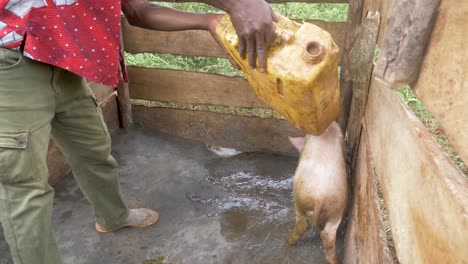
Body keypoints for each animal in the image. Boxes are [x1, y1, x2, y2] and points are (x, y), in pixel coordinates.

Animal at [288, 121, 350, 264]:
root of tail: (319, 199)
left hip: (298, 199)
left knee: (303, 224)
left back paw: (288, 242)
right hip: (336, 210)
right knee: (328, 237)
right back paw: (335, 261)